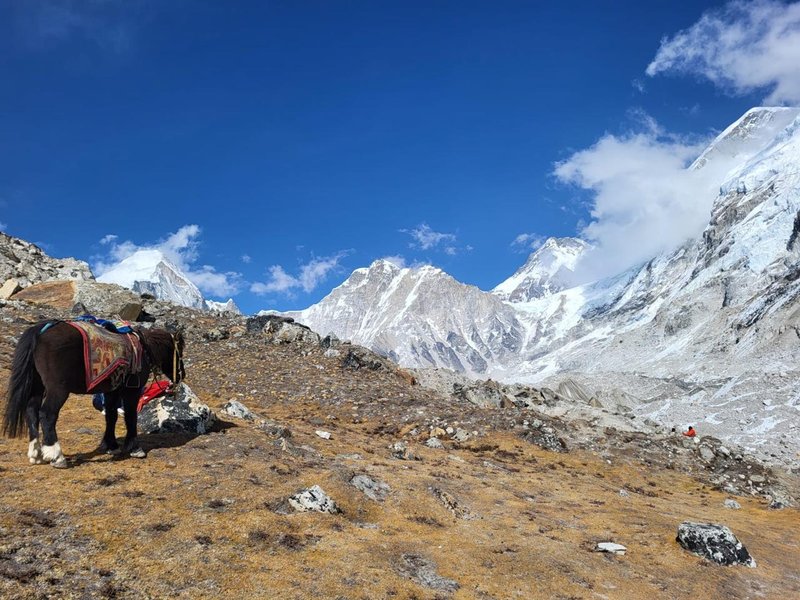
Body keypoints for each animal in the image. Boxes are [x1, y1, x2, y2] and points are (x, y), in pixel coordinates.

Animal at [2, 320, 185, 468]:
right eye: (179, 352)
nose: (181, 374)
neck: (143, 348)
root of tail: (40, 332)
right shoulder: (131, 391)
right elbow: (130, 416)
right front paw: (134, 448)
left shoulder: (112, 391)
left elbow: (111, 416)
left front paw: (111, 446)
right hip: (58, 389)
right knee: (47, 415)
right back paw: (57, 456)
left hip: (37, 385)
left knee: (31, 412)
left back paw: (36, 454)